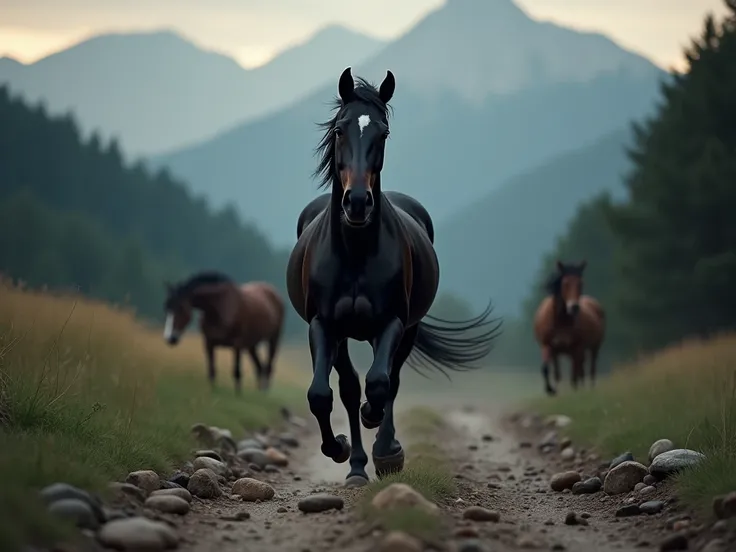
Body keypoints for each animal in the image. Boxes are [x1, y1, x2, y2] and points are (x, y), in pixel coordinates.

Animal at [286, 68, 500, 488]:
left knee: (389, 382)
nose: (356, 202)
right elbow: (321, 394)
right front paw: (337, 447)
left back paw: (382, 448)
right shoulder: (323, 324)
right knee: (349, 388)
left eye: (382, 133)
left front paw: (384, 443)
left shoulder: (393, 322)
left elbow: (381, 384)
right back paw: (355, 466)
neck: (355, 253)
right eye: (340, 130)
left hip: (406, 329)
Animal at [536, 260, 604, 394]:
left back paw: (590, 386)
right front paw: (551, 390)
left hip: (594, 347)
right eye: (565, 283)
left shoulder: (576, 348)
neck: (561, 321)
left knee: (590, 366)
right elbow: (547, 369)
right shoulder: (548, 346)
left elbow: (574, 375)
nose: (574, 307)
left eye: (581, 283)